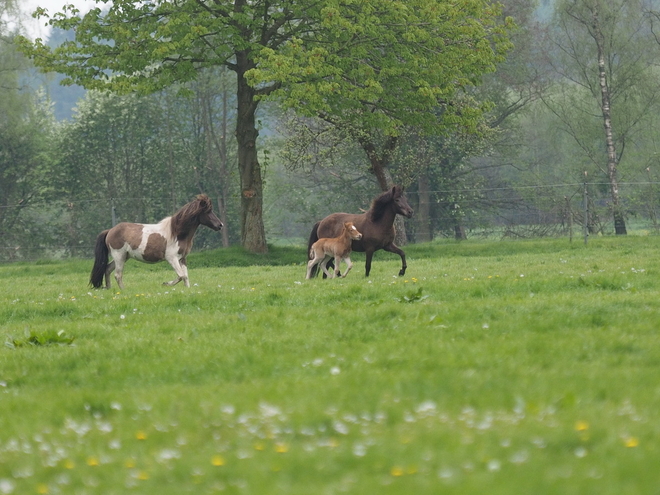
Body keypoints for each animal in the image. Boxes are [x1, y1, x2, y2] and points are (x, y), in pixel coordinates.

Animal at [89, 193, 223, 288]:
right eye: (208, 211)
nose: (220, 225)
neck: (177, 234)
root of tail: (110, 231)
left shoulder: (182, 258)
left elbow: (186, 277)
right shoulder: (172, 258)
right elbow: (181, 276)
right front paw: (166, 284)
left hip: (124, 256)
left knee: (107, 269)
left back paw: (109, 288)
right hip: (119, 256)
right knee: (118, 275)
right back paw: (123, 290)